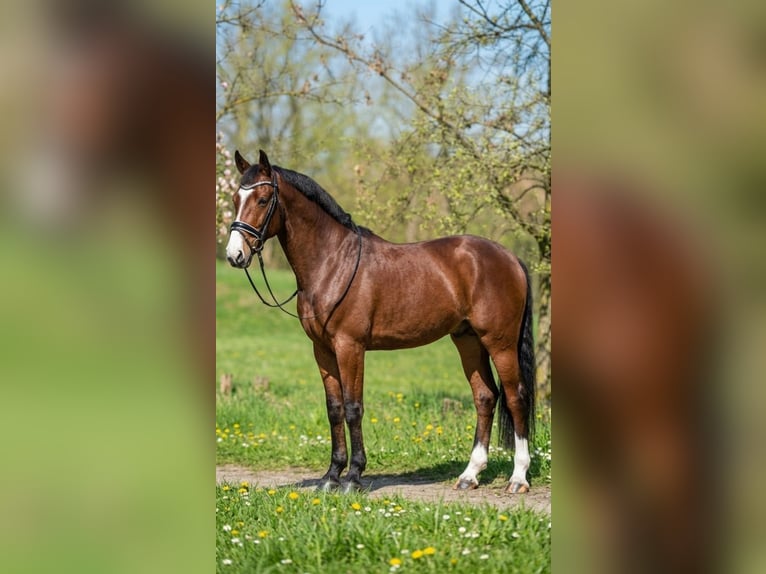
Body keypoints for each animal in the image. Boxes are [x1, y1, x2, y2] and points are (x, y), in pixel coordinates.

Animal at [225, 150, 536, 493]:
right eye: (235, 198)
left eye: (263, 199)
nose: (234, 255)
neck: (333, 262)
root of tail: (510, 258)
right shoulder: (323, 350)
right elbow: (334, 409)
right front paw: (331, 476)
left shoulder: (350, 347)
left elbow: (353, 408)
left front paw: (353, 477)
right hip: (468, 340)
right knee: (485, 397)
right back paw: (470, 475)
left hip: (500, 342)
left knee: (516, 397)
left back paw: (518, 477)